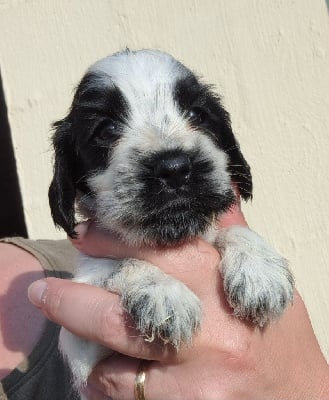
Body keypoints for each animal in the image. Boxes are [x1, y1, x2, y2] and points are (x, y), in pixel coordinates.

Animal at [48, 48, 292, 396]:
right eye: (106, 130)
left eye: (197, 115)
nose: (174, 168)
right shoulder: (81, 348)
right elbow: (121, 264)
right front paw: (163, 293)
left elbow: (232, 229)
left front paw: (260, 270)